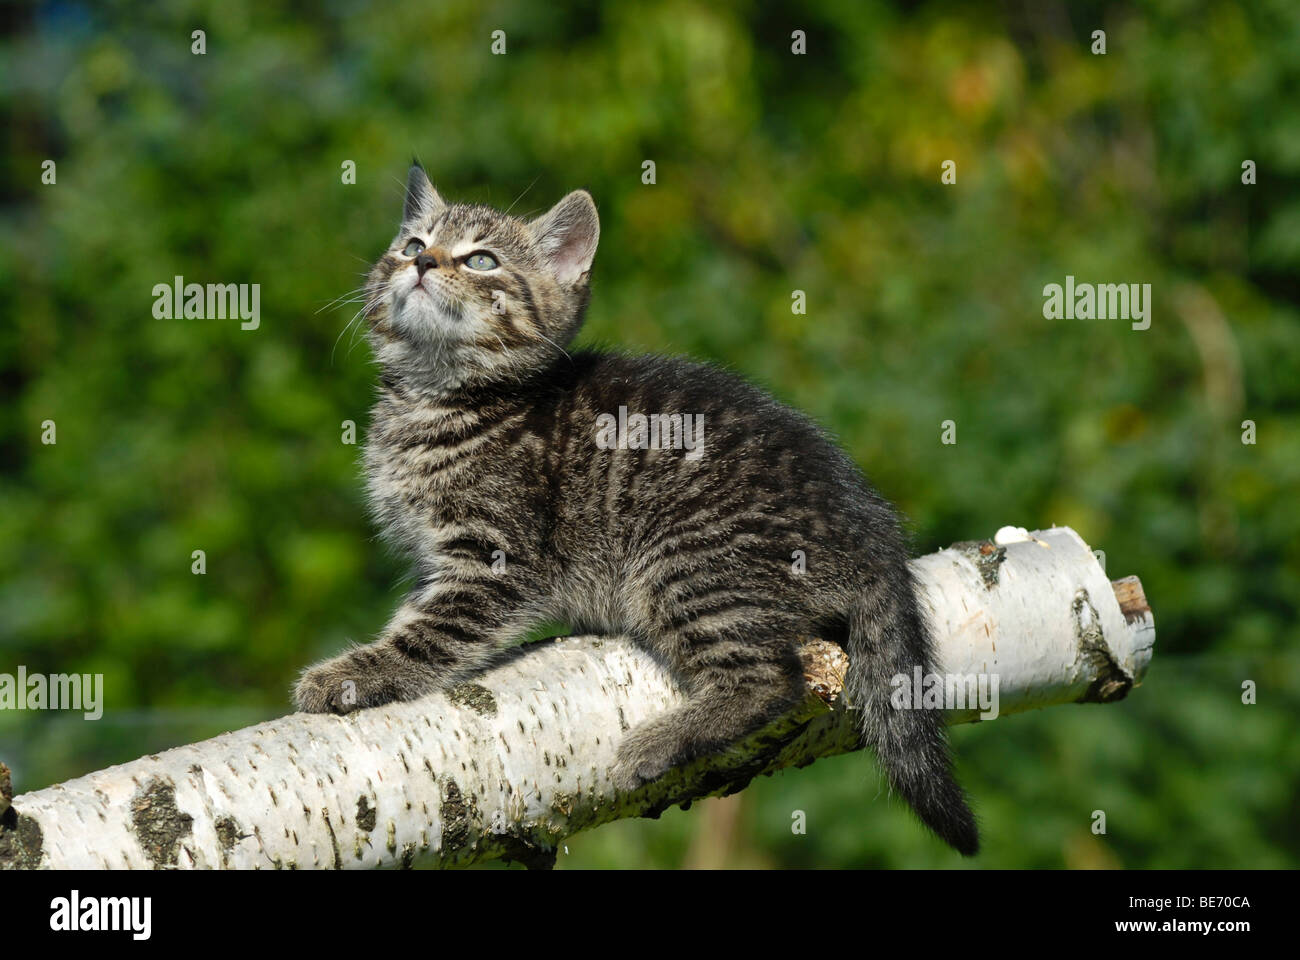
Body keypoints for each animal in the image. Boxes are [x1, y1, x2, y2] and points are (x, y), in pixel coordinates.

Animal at [297, 164, 982, 853]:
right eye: (413, 244)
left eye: (482, 260)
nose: (422, 263)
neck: (436, 398)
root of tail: (868, 525)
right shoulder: (438, 561)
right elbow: (413, 616)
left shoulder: (493, 559)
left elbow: (429, 635)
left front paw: (350, 676)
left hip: (688, 561)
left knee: (770, 679)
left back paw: (660, 742)